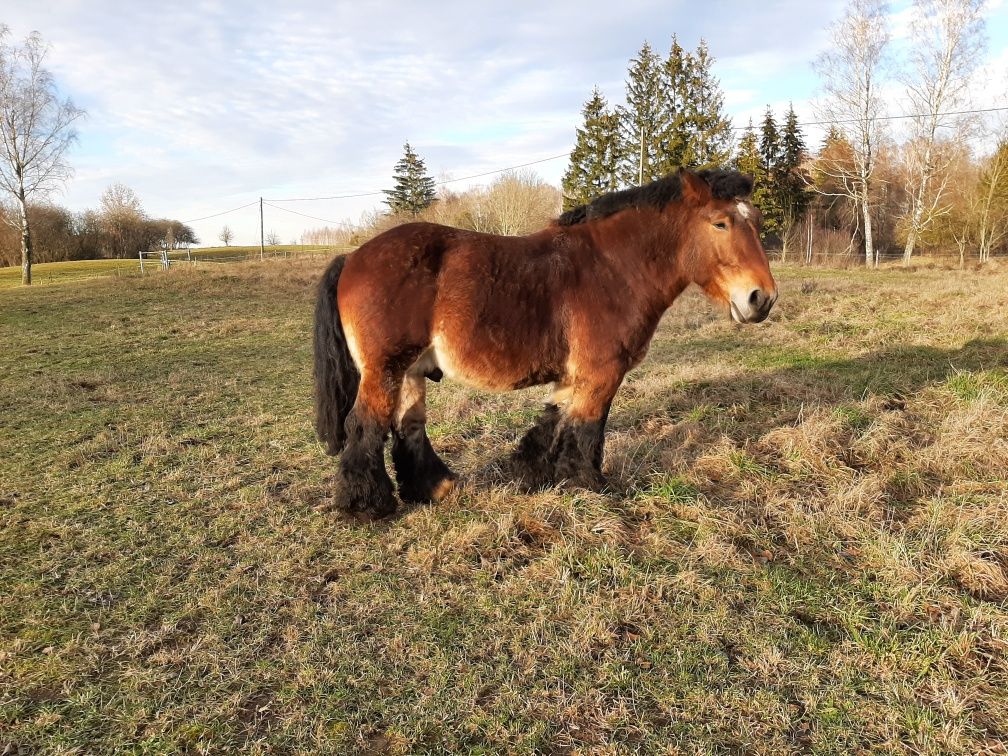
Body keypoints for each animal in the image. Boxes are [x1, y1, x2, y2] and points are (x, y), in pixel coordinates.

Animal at [314, 168, 778, 520]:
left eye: (755, 221)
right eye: (720, 222)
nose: (762, 298)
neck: (613, 268)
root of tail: (353, 257)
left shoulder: (573, 375)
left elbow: (553, 423)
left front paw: (532, 476)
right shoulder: (601, 373)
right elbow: (588, 428)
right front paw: (590, 485)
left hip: (410, 371)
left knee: (408, 426)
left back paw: (434, 488)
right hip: (385, 369)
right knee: (366, 426)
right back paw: (366, 506)